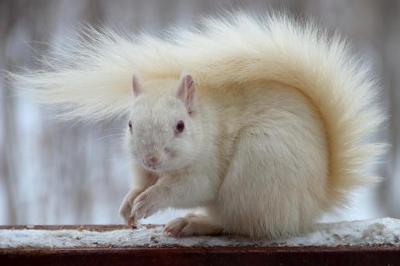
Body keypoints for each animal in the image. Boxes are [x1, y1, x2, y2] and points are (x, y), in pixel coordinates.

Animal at [14, 12, 386, 238]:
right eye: (130, 124)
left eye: (180, 126)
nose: (151, 158)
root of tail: (315, 200)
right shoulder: (142, 169)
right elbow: (141, 184)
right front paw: (129, 203)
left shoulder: (206, 167)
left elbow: (187, 188)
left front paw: (149, 201)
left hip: (256, 172)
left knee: (235, 223)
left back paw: (192, 223)